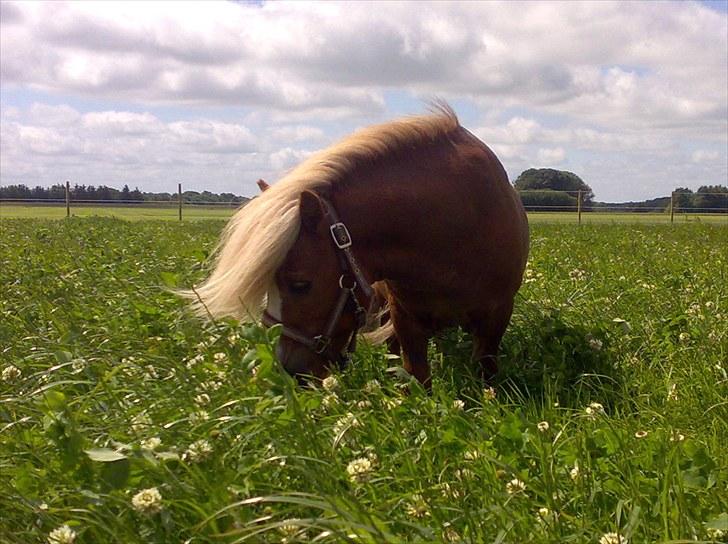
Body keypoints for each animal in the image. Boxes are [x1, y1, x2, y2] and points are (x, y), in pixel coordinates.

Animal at [186, 105, 528, 386]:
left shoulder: (496, 317)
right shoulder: (404, 318)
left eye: (300, 284)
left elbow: (484, 376)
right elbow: (417, 376)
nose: (286, 371)